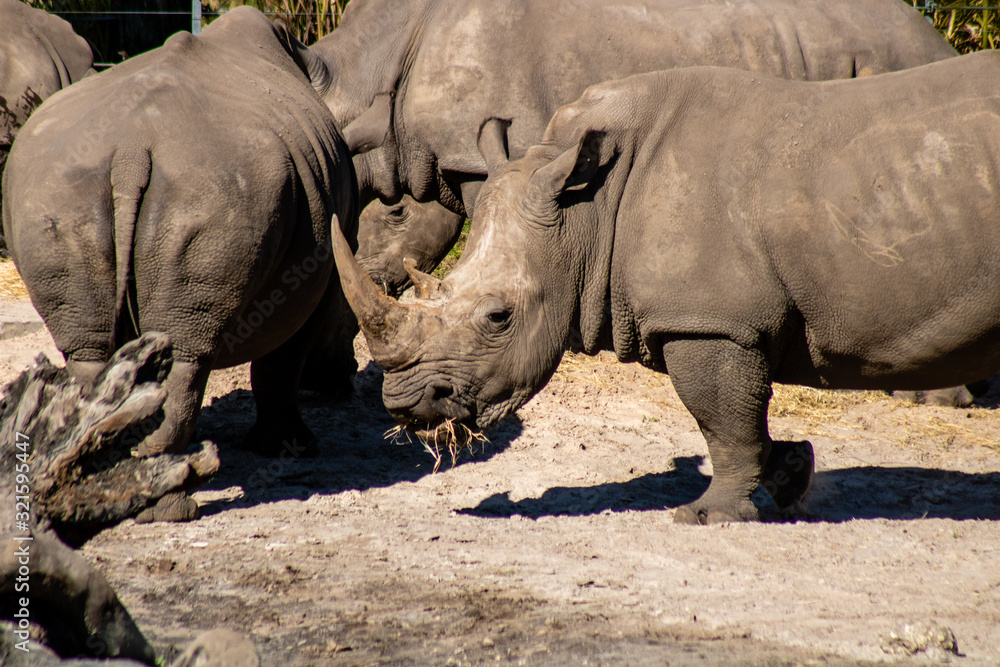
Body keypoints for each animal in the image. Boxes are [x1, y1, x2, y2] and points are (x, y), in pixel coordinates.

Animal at [332, 49, 1000, 524]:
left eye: (498, 317)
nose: (404, 405)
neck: (586, 212)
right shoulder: (727, 320)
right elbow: (743, 421)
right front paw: (790, 474)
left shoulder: (710, 322)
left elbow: (721, 418)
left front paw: (708, 516)